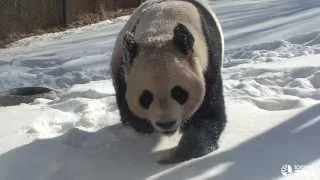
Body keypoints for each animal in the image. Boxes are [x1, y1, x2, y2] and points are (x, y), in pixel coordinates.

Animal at [111, 0, 226, 164]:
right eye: (145, 97)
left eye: (179, 92)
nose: (166, 123)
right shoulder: (124, 68)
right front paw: (143, 128)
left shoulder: (208, 63)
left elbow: (208, 112)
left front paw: (178, 154)